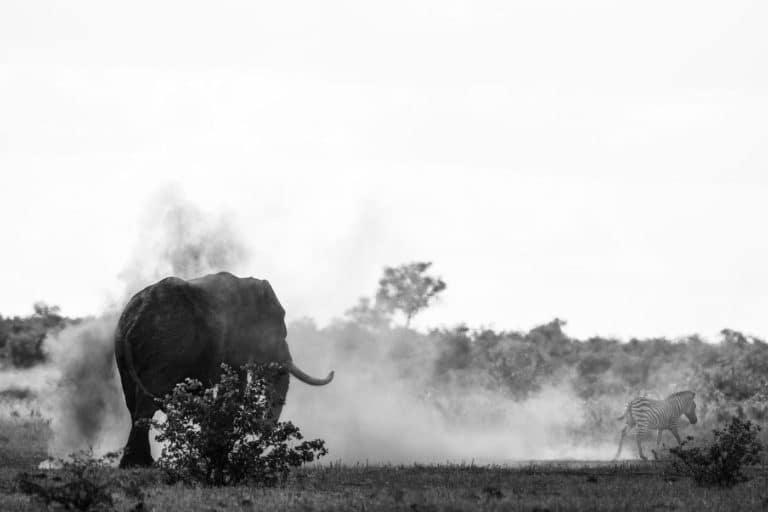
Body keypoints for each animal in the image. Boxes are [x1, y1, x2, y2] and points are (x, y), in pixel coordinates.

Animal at [113, 271, 334, 468]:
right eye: (279, 322)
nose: (332, 371)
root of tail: (134, 319)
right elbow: (236, 387)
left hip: (125, 352)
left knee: (132, 403)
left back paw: (136, 464)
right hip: (164, 345)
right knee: (146, 405)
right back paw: (140, 465)